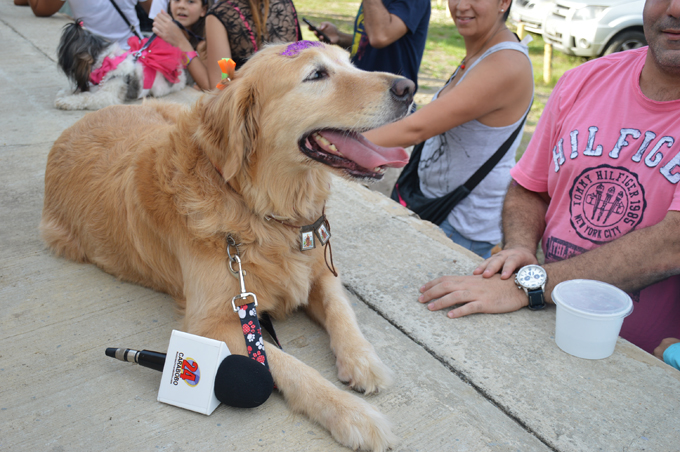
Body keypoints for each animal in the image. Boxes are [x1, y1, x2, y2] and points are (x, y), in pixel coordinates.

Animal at [42, 41, 418, 448]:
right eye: (316, 74)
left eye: (350, 63)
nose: (409, 87)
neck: (259, 207)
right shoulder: (211, 323)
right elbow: (289, 366)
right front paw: (353, 415)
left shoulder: (319, 267)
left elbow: (341, 311)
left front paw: (364, 361)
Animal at [54, 21, 186, 111]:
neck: (106, 63)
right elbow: (83, 92)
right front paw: (66, 93)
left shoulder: (107, 96)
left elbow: (86, 97)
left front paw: (66, 101)